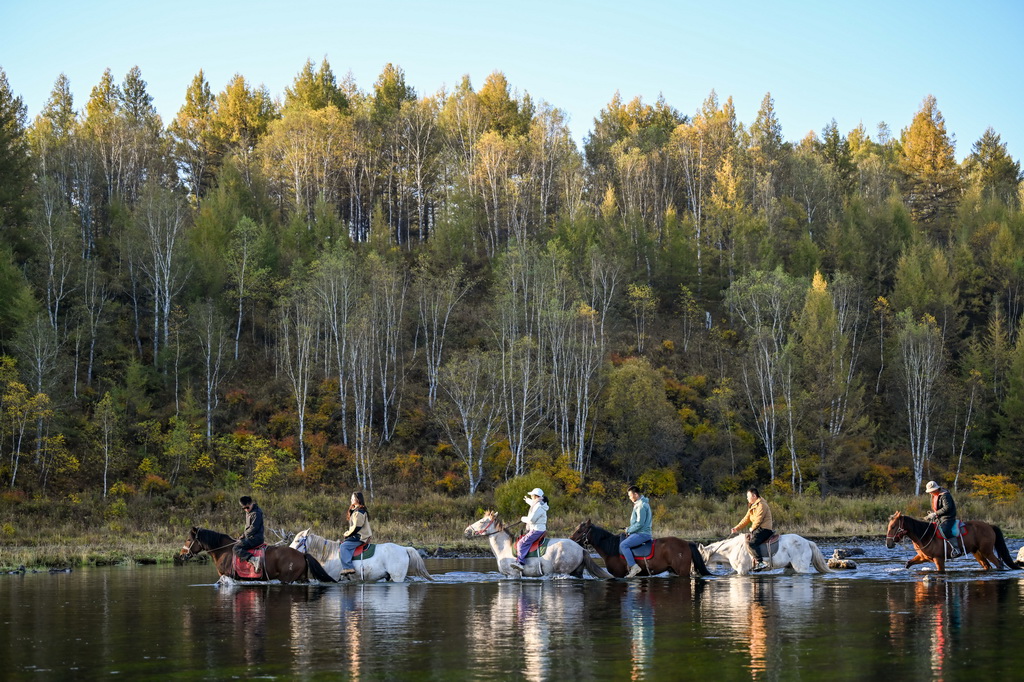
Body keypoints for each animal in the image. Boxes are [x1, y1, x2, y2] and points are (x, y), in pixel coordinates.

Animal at [180, 526, 334, 583]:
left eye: (188, 539)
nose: (181, 555)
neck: (224, 551)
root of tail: (302, 555)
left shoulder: (227, 577)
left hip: (287, 578)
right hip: (301, 578)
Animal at [289, 529, 432, 582]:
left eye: (298, 540)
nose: (289, 551)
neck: (330, 554)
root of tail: (404, 549)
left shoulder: (334, 579)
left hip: (397, 577)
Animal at [464, 511, 612, 578]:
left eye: (482, 521)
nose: (466, 531)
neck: (504, 548)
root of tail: (581, 549)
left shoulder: (513, 575)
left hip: (564, 571)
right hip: (577, 572)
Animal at [568, 519, 711, 578]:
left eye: (580, 531)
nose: (570, 539)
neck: (611, 548)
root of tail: (687, 543)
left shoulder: (619, 574)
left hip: (682, 572)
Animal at [884, 511, 1020, 573]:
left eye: (893, 526)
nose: (888, 544)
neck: (924, 535)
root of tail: (990, 526)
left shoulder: (938, 559)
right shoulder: (923, 557)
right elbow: (908, 563)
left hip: (987, 551)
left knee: (999, 564)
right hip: (977, 553)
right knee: (987, 566)